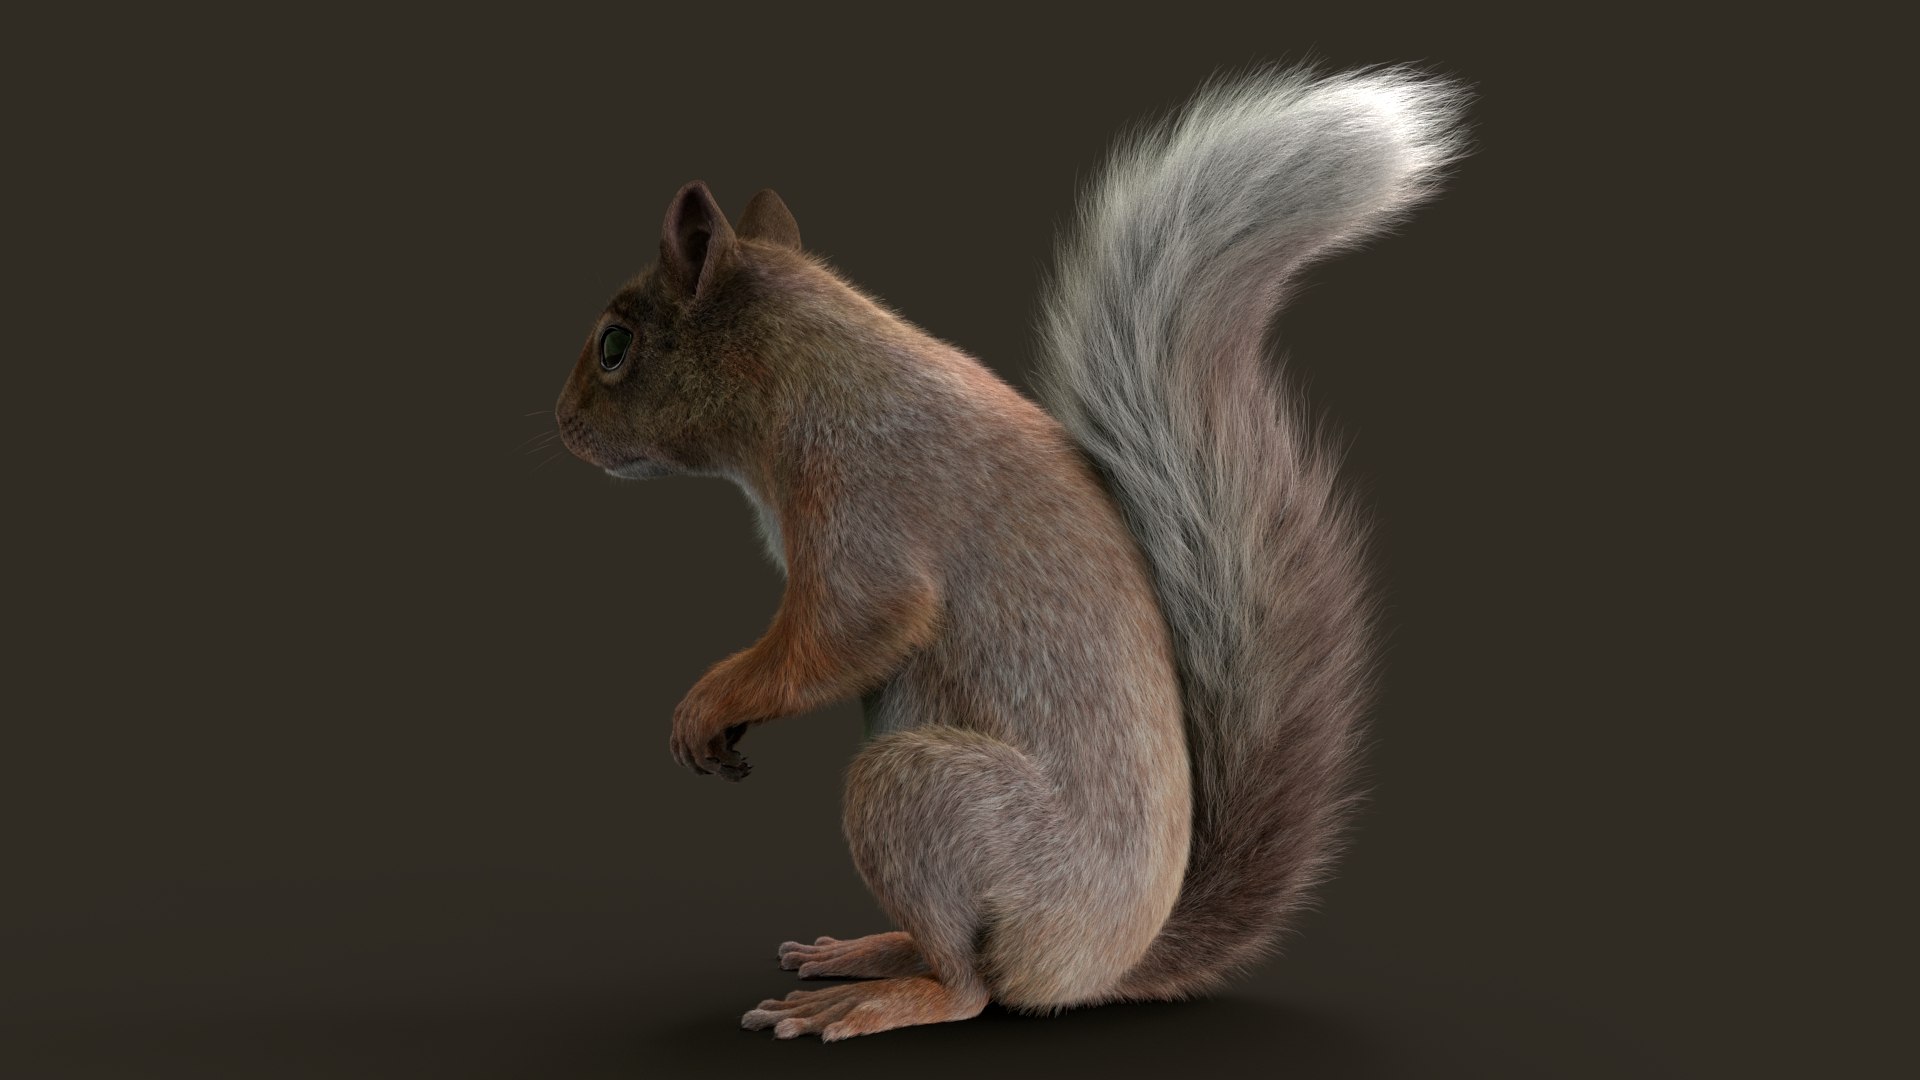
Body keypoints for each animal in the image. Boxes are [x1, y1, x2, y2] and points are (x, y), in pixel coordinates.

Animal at [554, 66, 1468, 1041]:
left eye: (614, 345)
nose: (562, 424)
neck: (811, 370)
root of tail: (1096, 965)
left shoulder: (867, 498)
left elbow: (850, 627)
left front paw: (709, 701)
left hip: (931, 800)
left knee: (970, 986)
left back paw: (885, 996)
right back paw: (867, 951)